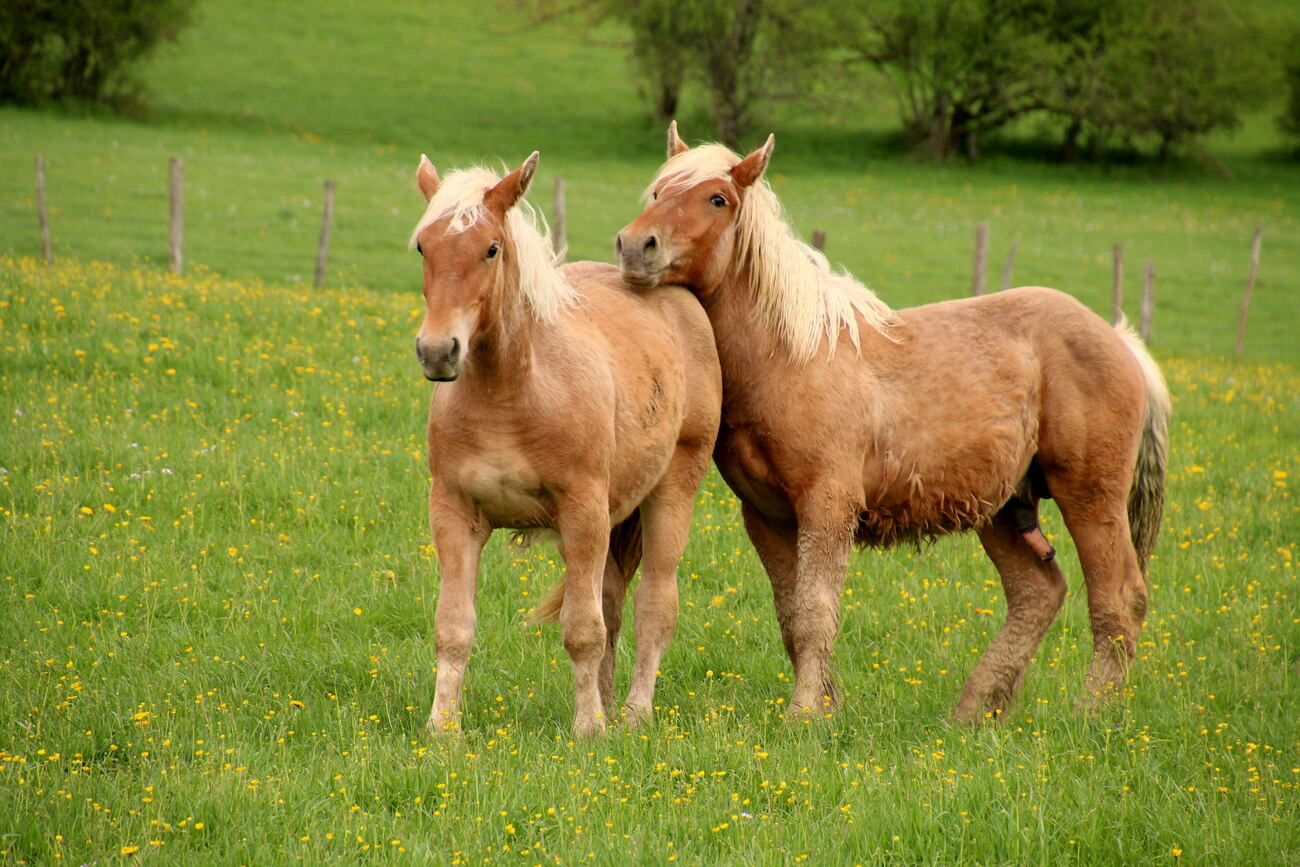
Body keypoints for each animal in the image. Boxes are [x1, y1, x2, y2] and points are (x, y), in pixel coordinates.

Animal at [410, 152, 722, 738]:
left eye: (491, 248)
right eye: (424, 246)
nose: (438, 352)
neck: (513, 395)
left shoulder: (583, 515)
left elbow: (582, 630)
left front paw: (588, 730)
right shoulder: (454, 515)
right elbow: (453, 627)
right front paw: (443, 730)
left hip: (670, 495)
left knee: (654, 606)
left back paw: (633, 715)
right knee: (614, 604)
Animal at [613, 123, 1175, 727]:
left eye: (717, 199)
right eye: (657, 191)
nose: (635, 246)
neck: (793, 355)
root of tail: (1118, 339)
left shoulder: (827, 506)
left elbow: (815, 611)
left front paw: (804, 715)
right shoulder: (767, 517)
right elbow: (792, 616)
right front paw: (828, 709)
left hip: (1089, 495)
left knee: (1118, 596)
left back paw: (1090, 712)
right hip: (1003, 508)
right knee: (1038, 592)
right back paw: (974, 711)